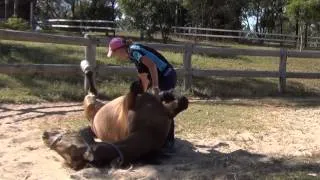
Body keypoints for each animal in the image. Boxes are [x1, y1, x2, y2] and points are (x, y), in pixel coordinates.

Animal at [42, 80, 188, 170]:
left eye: (61, 140)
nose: (45, 134)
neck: (148, 132)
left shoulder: (166, 112)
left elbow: (182, 101)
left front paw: (169, 93)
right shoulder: (128, 104)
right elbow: (133, 91)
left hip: (97, 104)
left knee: (93, 92)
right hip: (90, 104)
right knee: (91, 94)